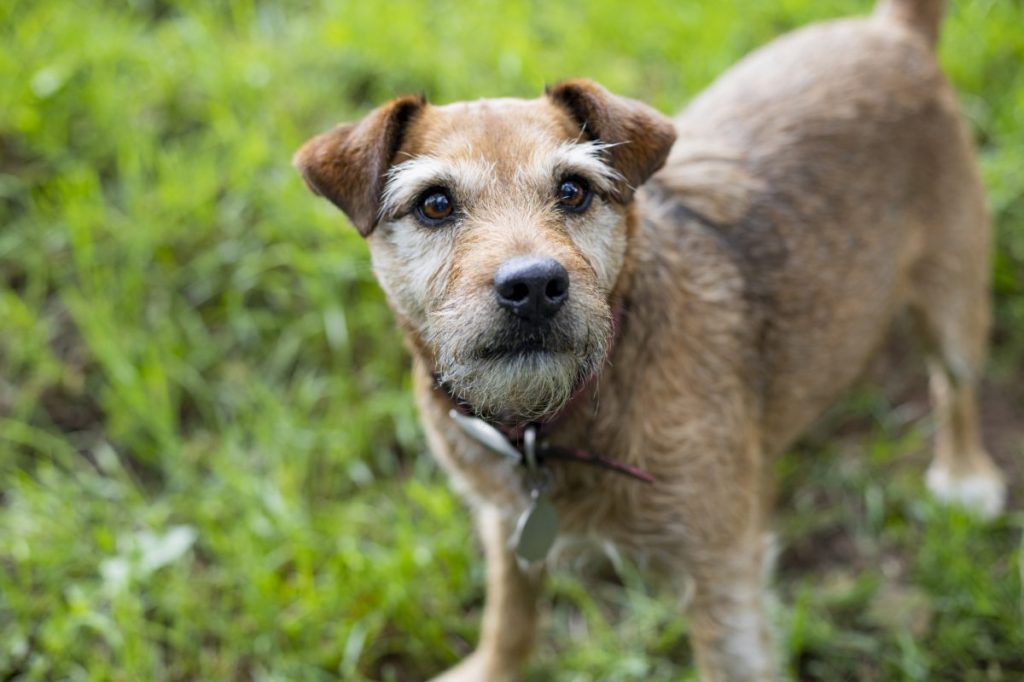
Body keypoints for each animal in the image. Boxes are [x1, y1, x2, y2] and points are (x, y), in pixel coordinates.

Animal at [292, 1, 1003, 675]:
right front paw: (488, 669)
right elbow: (509, 620)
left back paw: (965, 475)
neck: (551, 427)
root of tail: (893, 32)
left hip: (954, 297)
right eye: (435, 204)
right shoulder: (504, 526)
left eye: (573, 191)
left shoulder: (722, 575)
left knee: (956, 387)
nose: (534, 285)